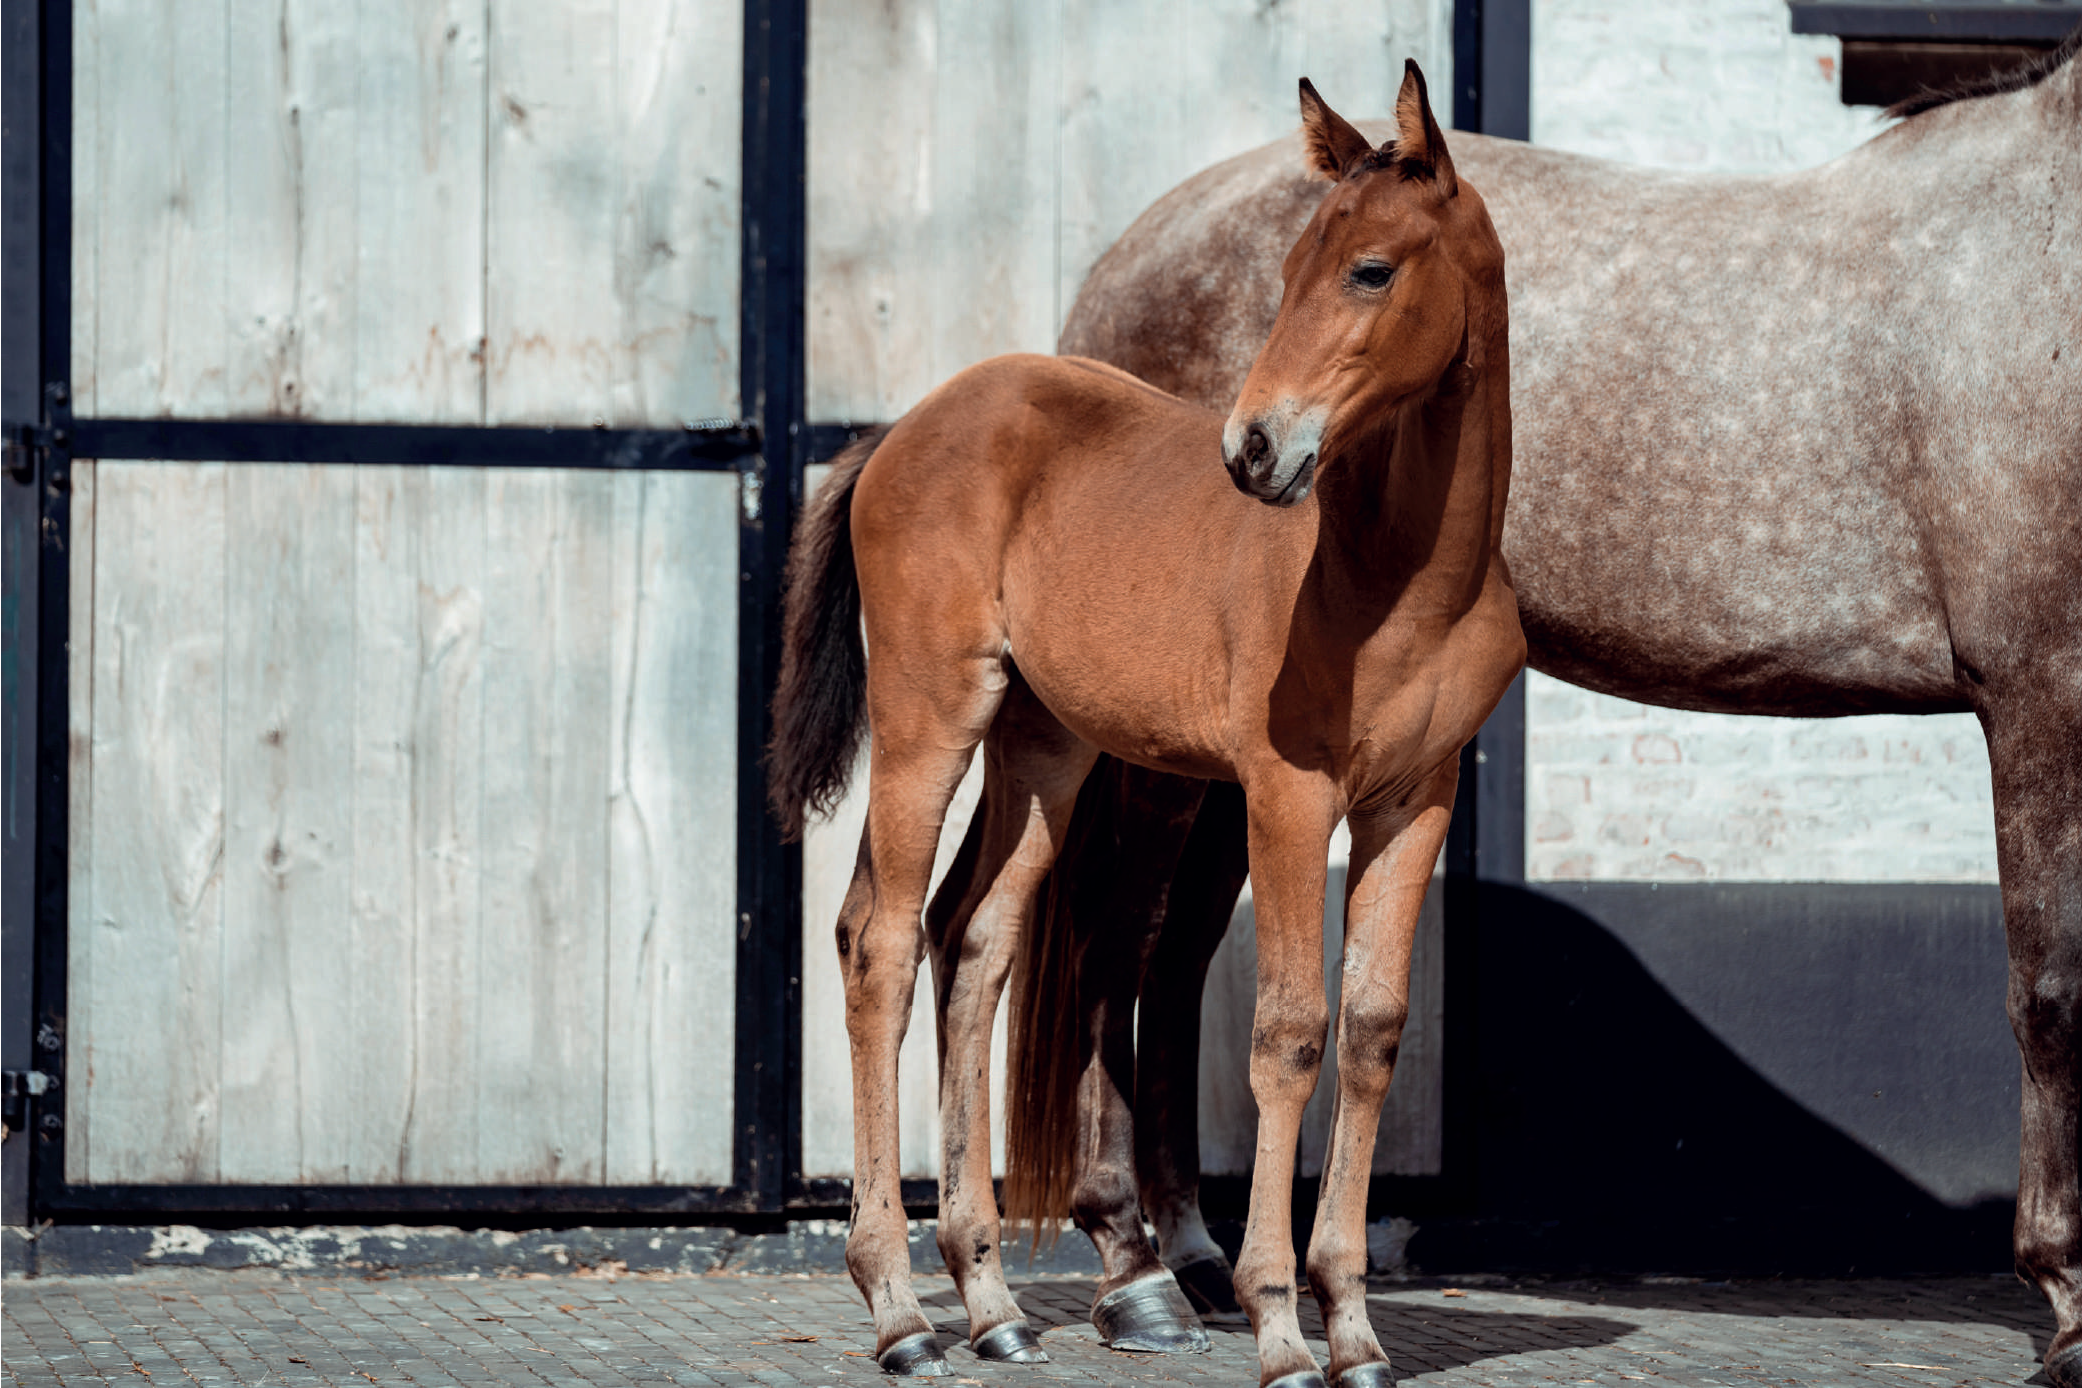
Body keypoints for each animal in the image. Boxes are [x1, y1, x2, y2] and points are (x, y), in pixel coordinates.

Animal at [770, 66, 1522, 1388]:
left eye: (1371, 269)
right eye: (1285, 266)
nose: (1254, 448)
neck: (1401, 578)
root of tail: (901, 429)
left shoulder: (1413, 799)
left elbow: (1371, 1027)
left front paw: (1356, 1329)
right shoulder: (1287, 790)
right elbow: (1287, 1028)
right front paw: (1278, 1324)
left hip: (1044, 747)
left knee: (976, 938)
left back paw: (991, 1302)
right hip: (929, 716)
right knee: (880, 937)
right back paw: (901, 1311)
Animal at [997, 27, 2082, 1387]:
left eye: (1369, 270)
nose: (1257, 444)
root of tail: (1126, 255)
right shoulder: (2036, 689)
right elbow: (2050, 989)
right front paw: (2068, 1304)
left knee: (1180, 952)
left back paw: (1195, 1256)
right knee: (1116, 936)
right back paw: (1135, 1273)